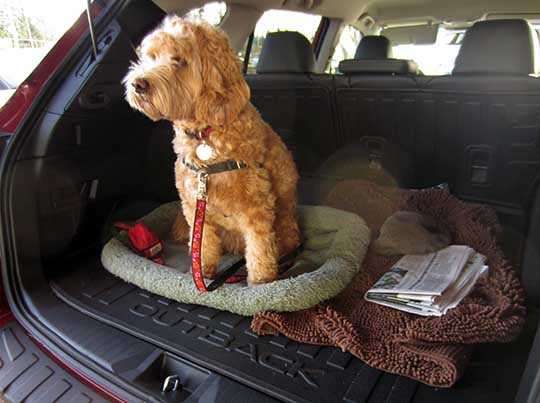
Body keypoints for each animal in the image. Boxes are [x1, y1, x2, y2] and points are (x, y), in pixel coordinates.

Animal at [123, 17, 300, 286]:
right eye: (152, 57)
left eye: (179, 60)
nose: (138, 84)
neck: (204, 136)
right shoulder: (196, 208)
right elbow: (203, 244)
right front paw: (202, 274)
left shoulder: (257, 209)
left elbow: (260, 250)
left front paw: (260, 283)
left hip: (285, 225)